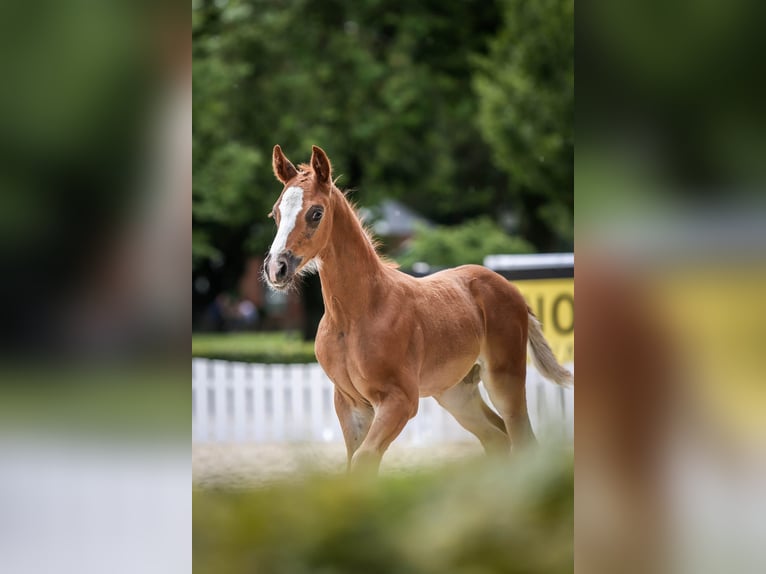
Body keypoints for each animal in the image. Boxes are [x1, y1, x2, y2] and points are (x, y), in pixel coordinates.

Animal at [268, 146, 572, 474]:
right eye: (276, 213)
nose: (276, 268)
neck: (355, 314)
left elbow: (364, 460)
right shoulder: (350, 404)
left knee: (523, 439)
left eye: (316, 213)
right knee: (498, 438)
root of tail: (512, 290)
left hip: (504, 379)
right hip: (456, 393)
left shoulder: (400, 400)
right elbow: (353, 467)